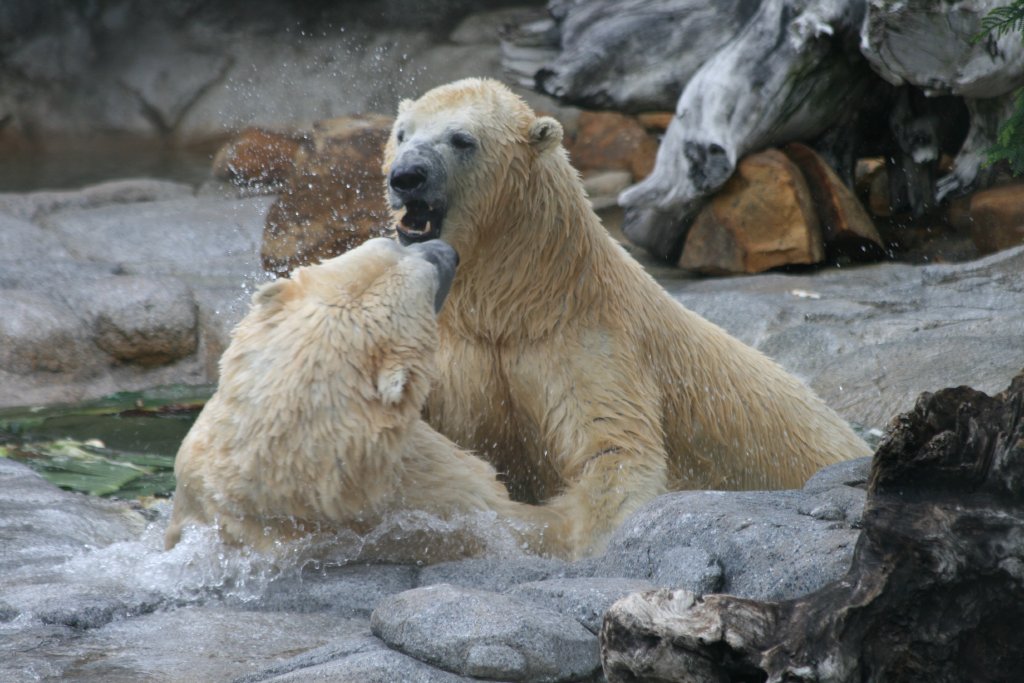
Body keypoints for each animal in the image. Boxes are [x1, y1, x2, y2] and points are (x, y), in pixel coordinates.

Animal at [384, 78, 873, 557]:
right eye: (402, 133)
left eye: (462, 139)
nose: (406, 176)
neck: (523, 298)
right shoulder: (456, 346)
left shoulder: (594, 338)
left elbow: (612, 447)